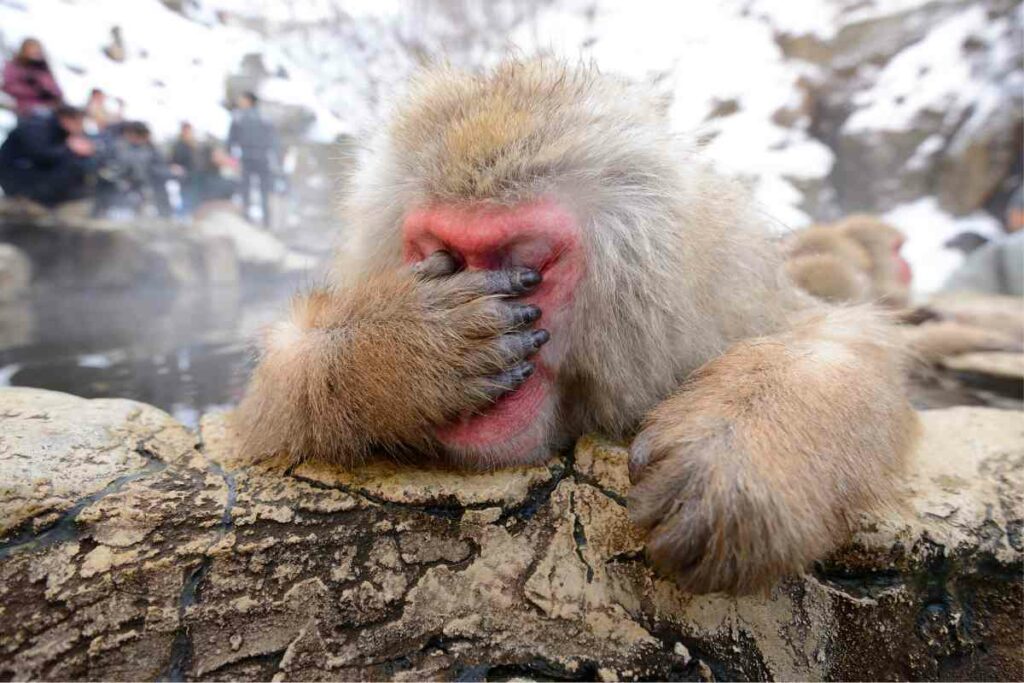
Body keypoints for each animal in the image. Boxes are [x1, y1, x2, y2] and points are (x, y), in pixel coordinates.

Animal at [239, 61, 921, 593]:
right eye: (447, 259)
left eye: (530, 267)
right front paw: (399, 347)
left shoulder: (723, 303)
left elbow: (836, 337)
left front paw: (738, 451)